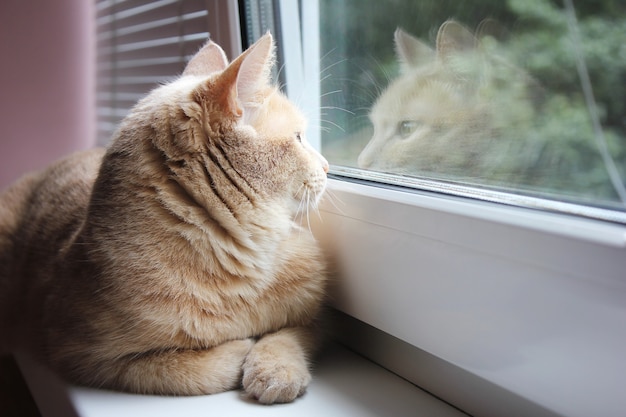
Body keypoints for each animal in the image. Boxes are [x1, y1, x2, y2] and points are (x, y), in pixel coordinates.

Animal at [0, 34, 330, 404]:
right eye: (299, 138)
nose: (328, 166)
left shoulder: (318, 318)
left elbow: (286, 335)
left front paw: (275, 368)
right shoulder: (84, 356)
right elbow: (187, 370)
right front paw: (240, 349)